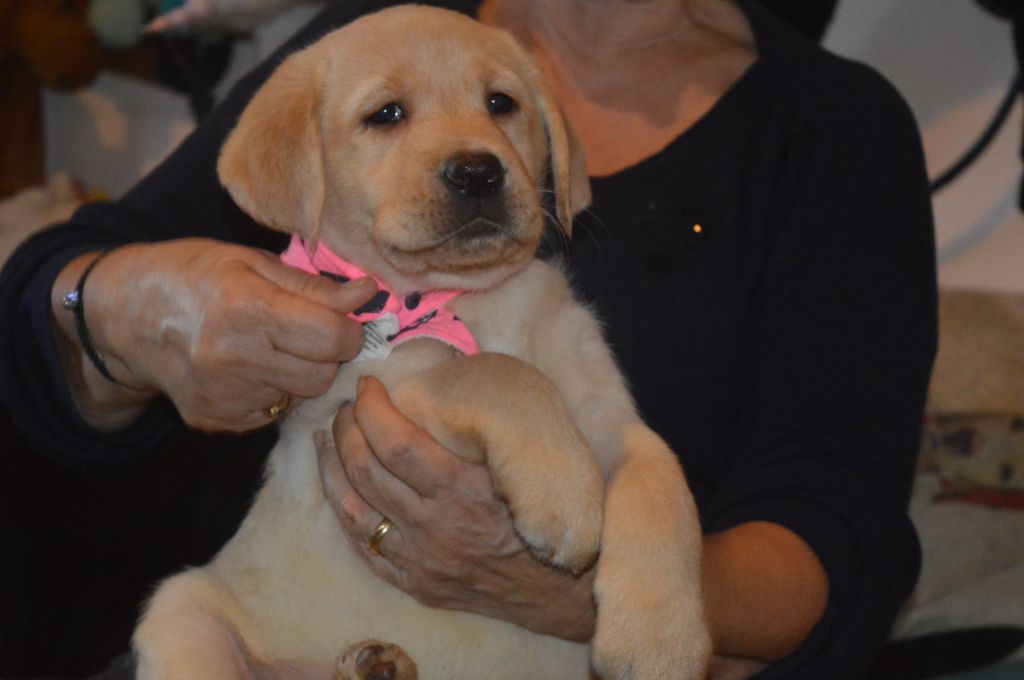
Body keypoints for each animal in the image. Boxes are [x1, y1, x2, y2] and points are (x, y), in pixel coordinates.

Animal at [132, 6, 708, 680]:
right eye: (387, 114)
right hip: (181, 609)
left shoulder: (607, 416)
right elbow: (492, 371)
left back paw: (374, 660)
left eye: (501, 102)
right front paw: (564, 491)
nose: (478, 171)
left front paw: (661, 641)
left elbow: (662, 483)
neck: (470, 296)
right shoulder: (354, 402)